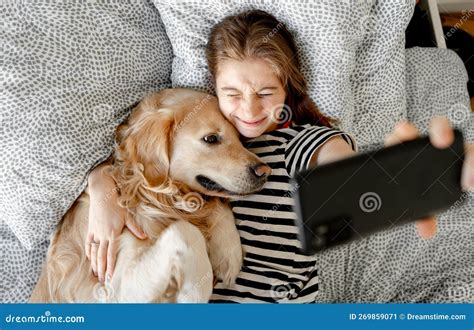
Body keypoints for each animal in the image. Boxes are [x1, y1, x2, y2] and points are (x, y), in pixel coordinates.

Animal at [29, 89, 272, 302]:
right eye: (211, 139)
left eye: (240, 138)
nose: (265, 172)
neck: (148, 196)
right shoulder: (110, 290)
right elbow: (186, 230)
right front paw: (194, 291)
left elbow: (212, 206)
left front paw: (229, 252)